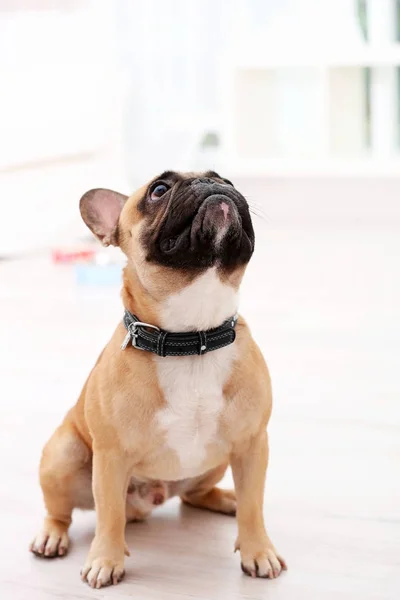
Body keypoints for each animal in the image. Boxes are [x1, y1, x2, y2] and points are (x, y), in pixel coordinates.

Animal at [30, 169, 288, 584]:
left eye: (226, 179)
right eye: (159, 190)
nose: (213, 185)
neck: (192, 338)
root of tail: (146, 503)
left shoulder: (251, 446)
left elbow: (254, 507)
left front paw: (258, 550)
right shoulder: (110, 457)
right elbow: (109, 516)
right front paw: (106, 559)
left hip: (218, 461)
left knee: (194, 495)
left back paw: (225, 498)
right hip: (64, 453)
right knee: (65, 512)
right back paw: (52, 536)